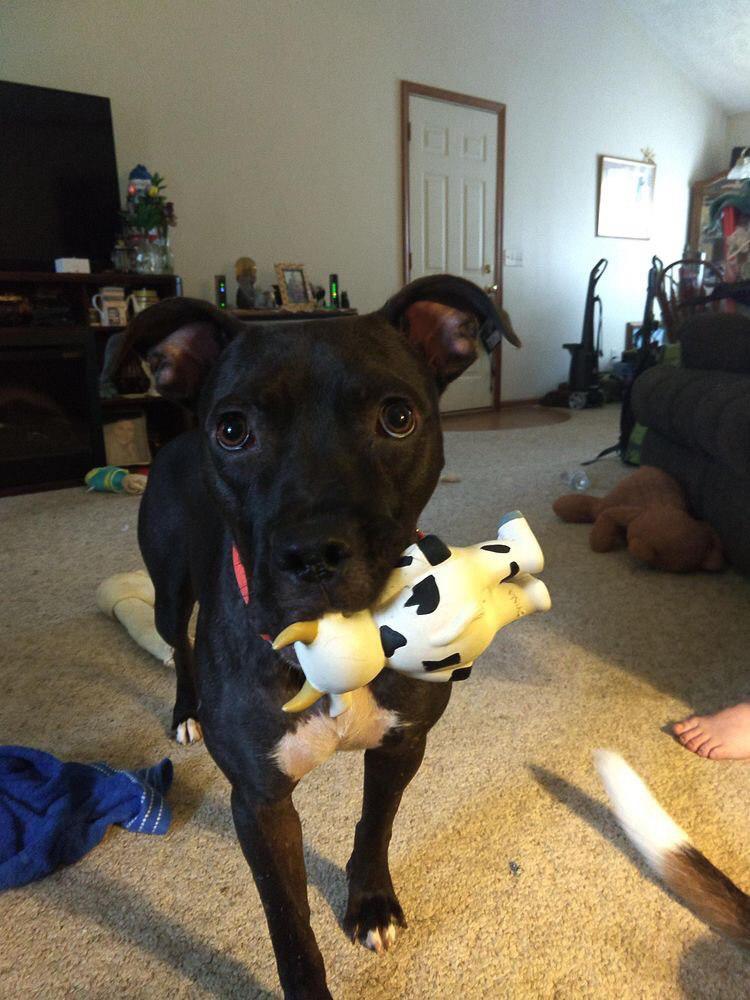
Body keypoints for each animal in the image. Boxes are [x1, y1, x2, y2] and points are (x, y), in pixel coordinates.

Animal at [123, 278, 524, 1000]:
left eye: (398, 418)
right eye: (232, 430)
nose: (312, 554)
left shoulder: (401, 746)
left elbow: (375, 825)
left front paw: (372, 905)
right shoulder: (260, 801)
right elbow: (288, 920)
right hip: (169, 591)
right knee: (178, 645)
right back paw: (187, 711)